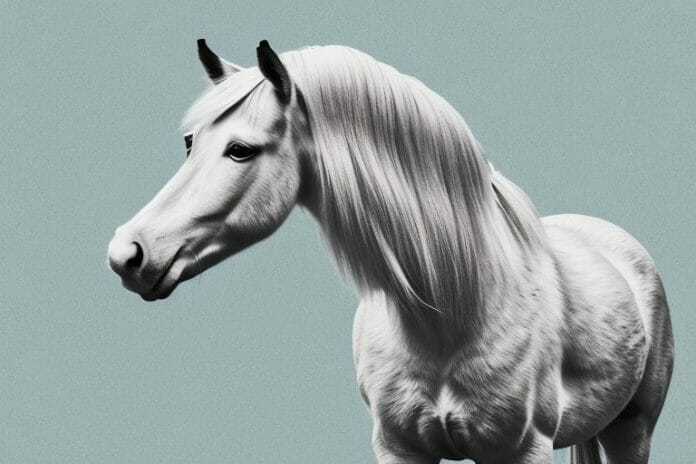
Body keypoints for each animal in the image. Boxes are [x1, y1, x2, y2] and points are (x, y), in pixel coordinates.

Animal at [107, 39, 674, 464]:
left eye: (240, 149)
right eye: (190, 142)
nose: (127, 253)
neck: (452, 309)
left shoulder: (521, 452)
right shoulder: (400, 448)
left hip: (633, 430)